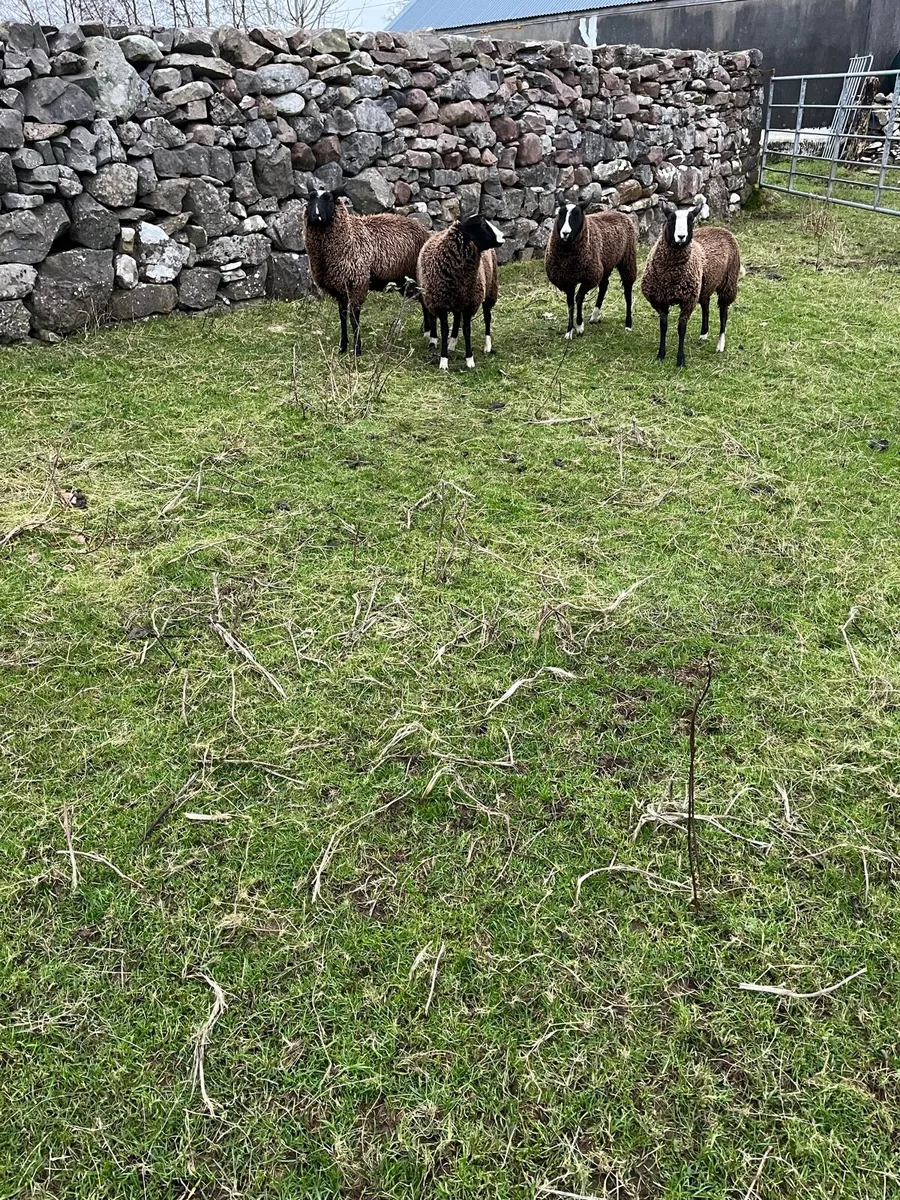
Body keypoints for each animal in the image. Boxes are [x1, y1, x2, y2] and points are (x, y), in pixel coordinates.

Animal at [304, 186, 431, 356]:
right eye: (310, 199)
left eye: (329, 198)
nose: (316, 216)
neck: (348, 234)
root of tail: (425, 230)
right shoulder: (340, 288)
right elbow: (342, 317)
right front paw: (342, 347)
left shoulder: (357, 284)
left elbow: (354, 318)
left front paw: (357, 349)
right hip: (404, 281)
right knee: (424, 302)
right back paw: (426, 331)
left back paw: (429, 334)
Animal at [416, 213, 504, 370]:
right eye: (482, 224)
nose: (503, 236)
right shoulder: (440, 304)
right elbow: (444, 330)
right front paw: (444, 360)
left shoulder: (470, 303)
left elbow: (467, 330)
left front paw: (469, 360)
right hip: (456, 300)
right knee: (457, 318)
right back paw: (452, 342)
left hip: (490, 289)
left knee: (487, 317)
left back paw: (487, 346)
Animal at [544, 196, 638, 339]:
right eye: (560, 213)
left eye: (577, 215)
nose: (565, 233)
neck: (567, 257)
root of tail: (620, 213)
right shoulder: (567, 280)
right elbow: (570, 303)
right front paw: (569, 331)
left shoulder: (590, 277)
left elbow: (578, 298)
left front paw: (579, 326)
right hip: (606, 264)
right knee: (604, 286)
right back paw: (594, 316)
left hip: (627, 259)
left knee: (627, 292)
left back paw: (628, 325)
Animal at [640, 199, 742, 367]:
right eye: (671, 219)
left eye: (691, 220)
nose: (681, 236)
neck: (670, 276)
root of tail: (721, 229)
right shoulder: (660, 301)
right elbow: (663, 327)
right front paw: (661, 354)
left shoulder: (687, 300)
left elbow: (681, 329)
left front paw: (680, 360)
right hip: (704, 286)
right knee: (706, 305)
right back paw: (703, 333)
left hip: (728, 283)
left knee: (724, 313)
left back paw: (720, 344)